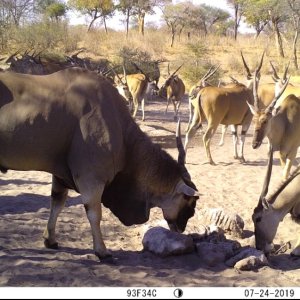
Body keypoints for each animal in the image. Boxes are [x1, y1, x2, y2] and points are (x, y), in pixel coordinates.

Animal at [0, 68, 199, 262]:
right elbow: (95, 214)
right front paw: (102, 251)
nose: (181, 228)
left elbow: (57, 203)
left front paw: (50, 240)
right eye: (189, 199)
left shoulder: (60, 176)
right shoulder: (91, 178)